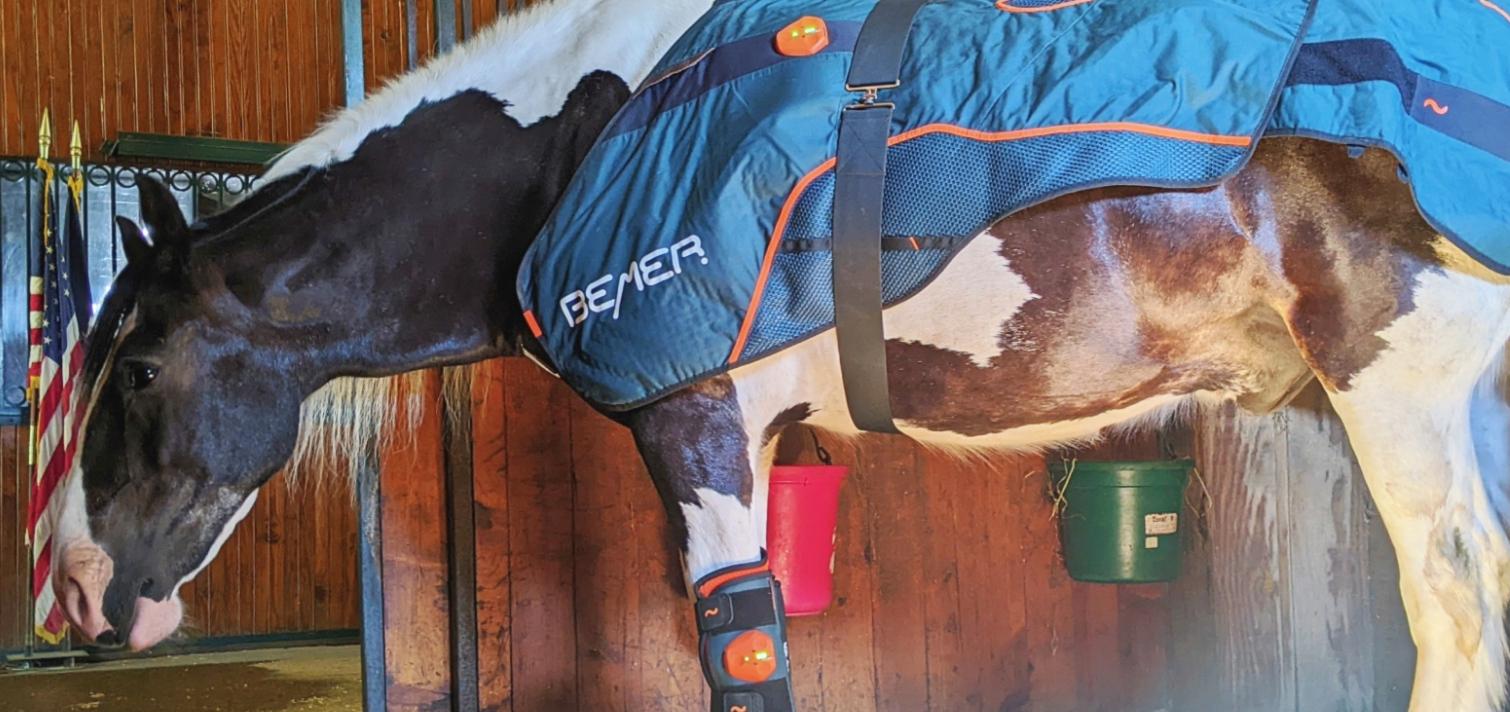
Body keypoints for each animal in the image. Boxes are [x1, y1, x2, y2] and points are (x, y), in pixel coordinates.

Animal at [44, 0, 1510, 710]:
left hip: (1396, 389)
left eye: (138, 370)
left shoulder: (696, 428)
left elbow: (741, 653)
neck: (578, 138)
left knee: (1450, 609)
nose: (73, 591)